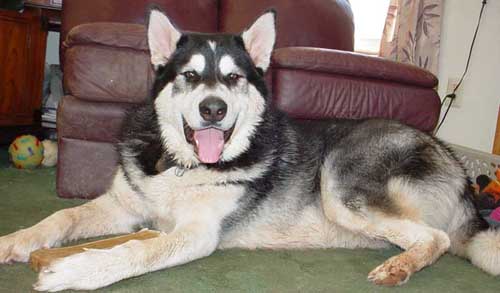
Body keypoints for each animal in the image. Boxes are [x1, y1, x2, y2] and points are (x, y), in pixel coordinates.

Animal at [0, 8, 500, 290]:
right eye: (189, 75)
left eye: (234, 77)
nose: (213, 108)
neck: (183, 167)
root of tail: (456, 164)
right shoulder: (121, 205)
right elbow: (61, 217)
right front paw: (14, 240)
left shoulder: (198, 233)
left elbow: (136, 251)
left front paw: (74, 272)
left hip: (340, 182)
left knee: (435, 239)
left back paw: (400, 266)